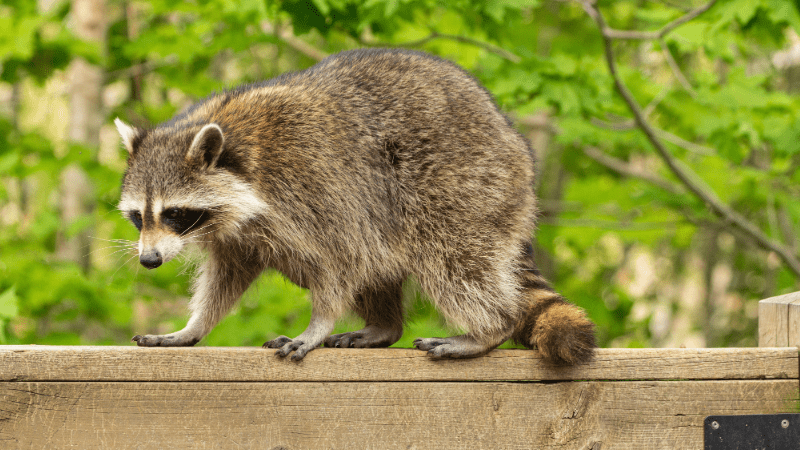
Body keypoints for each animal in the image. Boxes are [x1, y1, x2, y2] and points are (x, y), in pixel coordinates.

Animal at [115, 48, 596, 366]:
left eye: (174, 213)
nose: (149, 260)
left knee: (453, 260)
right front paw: (193, 327)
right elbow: (226, 278)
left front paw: (318, 323)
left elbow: (339, 262)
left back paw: (489, 328)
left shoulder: (315, 186)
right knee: (382, 263)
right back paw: (385, 326)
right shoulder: (238, 234)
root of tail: (510, 136)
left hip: (464, 185)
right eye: (139, 217)